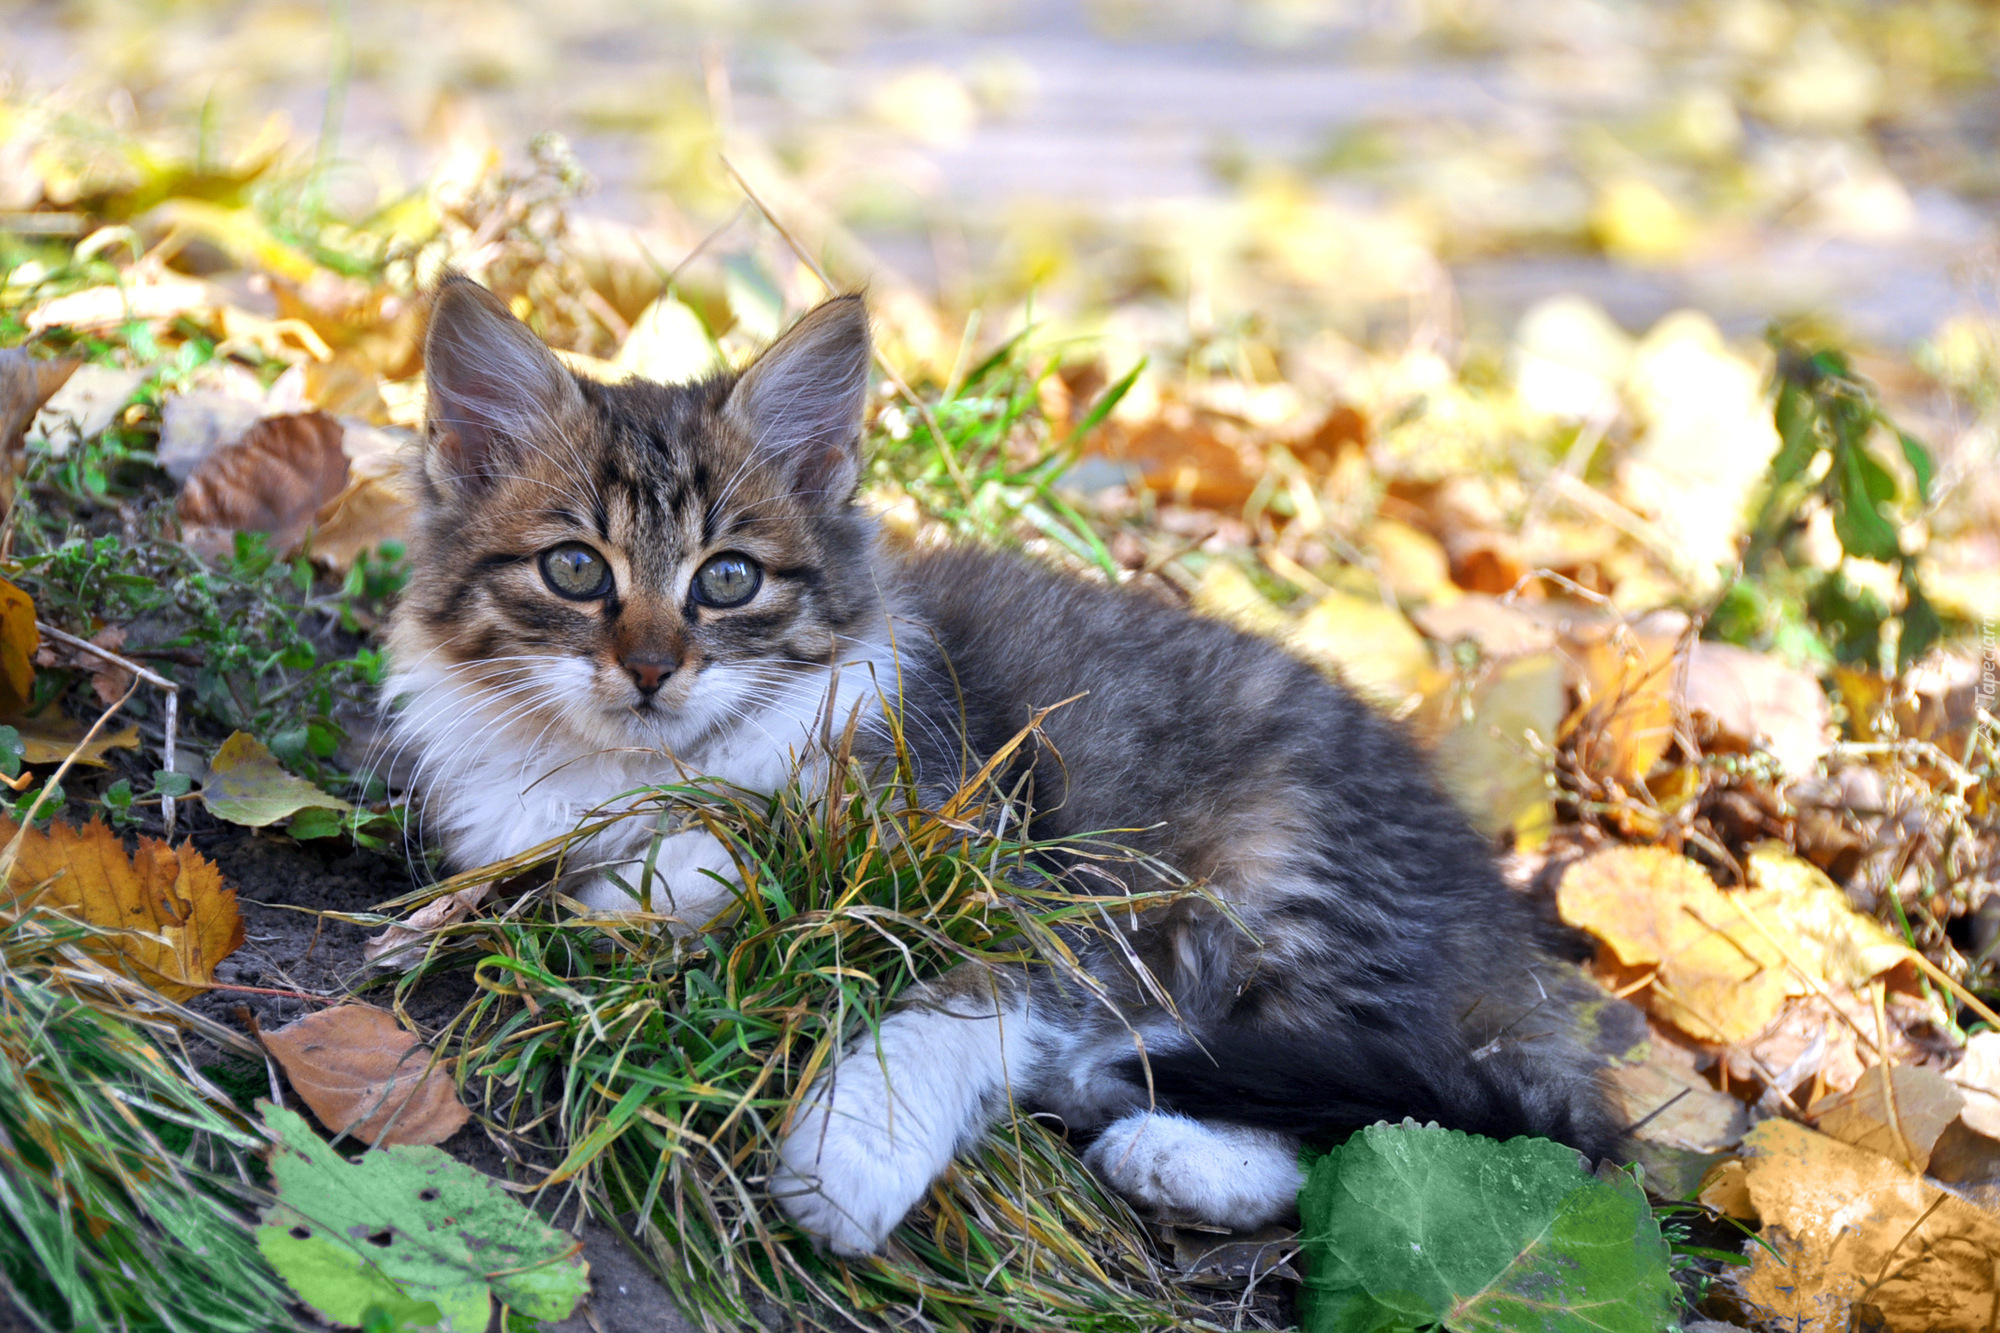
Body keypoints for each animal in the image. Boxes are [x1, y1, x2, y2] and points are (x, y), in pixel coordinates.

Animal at [382, 272, 1616, 1256]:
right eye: (575, 569)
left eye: (726, 579)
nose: (649, 668)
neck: (646, 769)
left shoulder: (1013, 879)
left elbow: (945, 998)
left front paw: (848, 1155)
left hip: (1292, 873)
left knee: (1377, 1104)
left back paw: (1175, 1149)